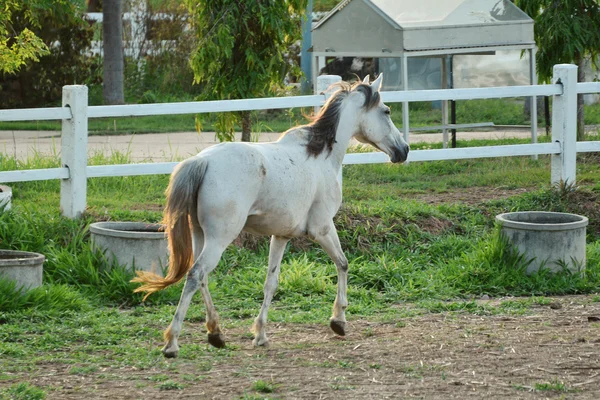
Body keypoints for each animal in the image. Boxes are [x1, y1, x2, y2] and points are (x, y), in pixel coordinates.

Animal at [134, 73, 410, 358]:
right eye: (387, 111)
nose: (404, 150)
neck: (321, 155)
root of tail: (202, 161)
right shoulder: (322, 228)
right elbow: (343, 264)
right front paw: (339, 321)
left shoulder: (281, 236)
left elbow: (271, 282)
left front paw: (261, 335)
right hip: (220, 239)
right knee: (196, 275)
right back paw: (172, 343)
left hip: (201, 235)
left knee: (201, 277)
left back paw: (216, 334)